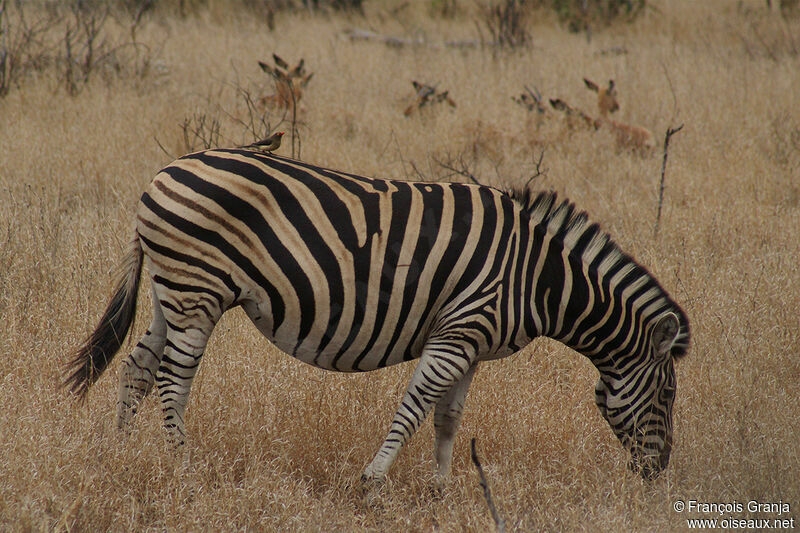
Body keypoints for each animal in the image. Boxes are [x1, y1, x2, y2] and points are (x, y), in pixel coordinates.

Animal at [64, 148, 688, 484]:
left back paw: (119, 452)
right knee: (174, 379)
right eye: (668, 396)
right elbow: (414, 408)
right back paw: (182, 466)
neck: (537, 278)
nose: (658, 475)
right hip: (197, 291)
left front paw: (441, 491)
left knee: (139, 366)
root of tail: (167, 169)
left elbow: (448, 417)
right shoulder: (458, 330)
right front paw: (373, 481)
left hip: (173, 290)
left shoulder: (471, 342)